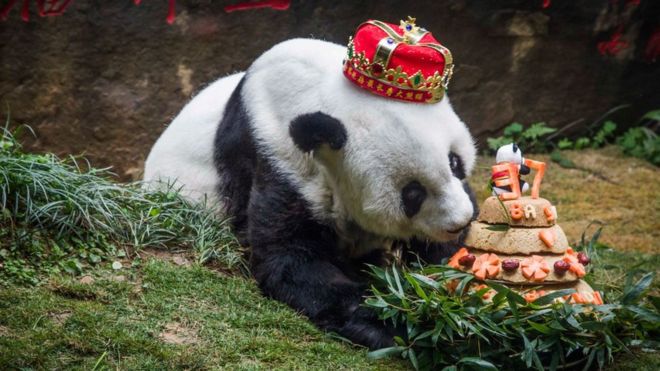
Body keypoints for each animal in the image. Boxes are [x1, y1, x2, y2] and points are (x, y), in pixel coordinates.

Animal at [144, 37, 476, 348]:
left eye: (455, 162)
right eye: (413, 193)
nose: (460, 222)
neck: (327, 95)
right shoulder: (279, 158)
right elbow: (290, 258)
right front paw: (400, 318)